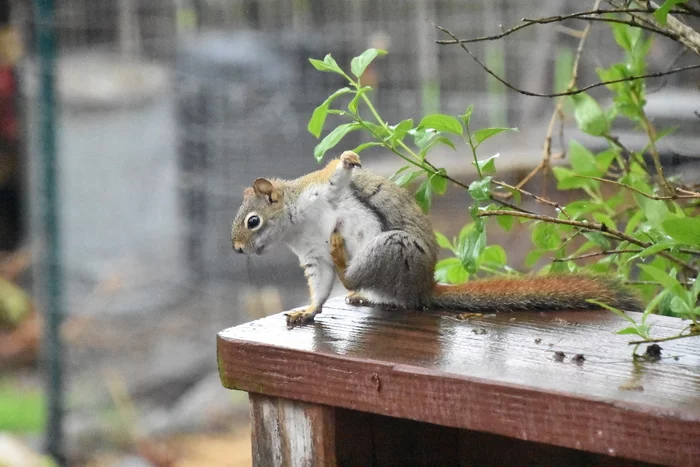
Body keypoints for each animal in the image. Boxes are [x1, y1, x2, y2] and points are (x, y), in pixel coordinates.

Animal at [230, 151, 640, 326]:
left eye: (252, 221)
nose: (236, 249)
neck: (298, 222)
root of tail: (423, 287)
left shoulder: (323, 192)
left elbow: (336, 174)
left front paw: (347, 158)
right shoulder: (313, 255)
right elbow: (320, 286)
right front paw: (308, 311)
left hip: (392, 248)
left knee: (352, 273)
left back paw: (349, 267)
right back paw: (362, 295)